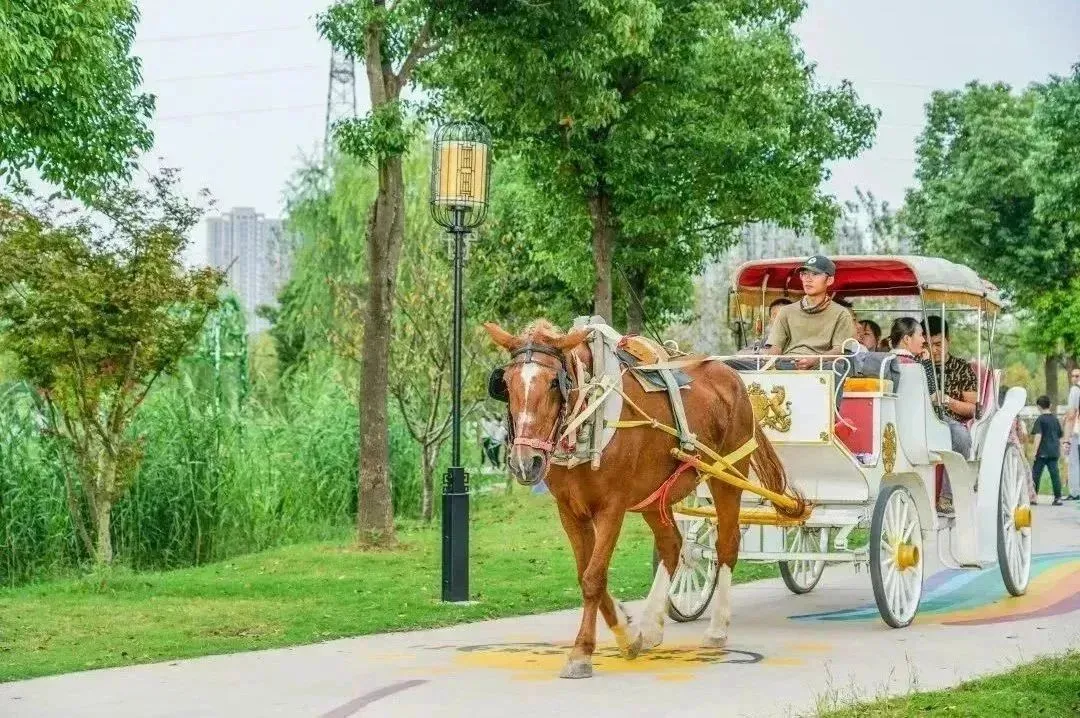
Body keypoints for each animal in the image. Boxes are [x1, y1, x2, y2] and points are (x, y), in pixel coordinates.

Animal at [483, 319, 803, 679]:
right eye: (505, 384)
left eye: (554, 383)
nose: (526, 462)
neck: (590, 419)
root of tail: (731, 374)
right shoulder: (569, 510)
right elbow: (586, 574)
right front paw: (628, 631)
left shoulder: (612, 507)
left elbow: (593, 578)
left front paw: (582, 653)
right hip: (654, 495)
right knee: (673, 545)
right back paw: (650, 627)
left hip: (726, 477)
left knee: (726, 544)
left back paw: (717, 628)